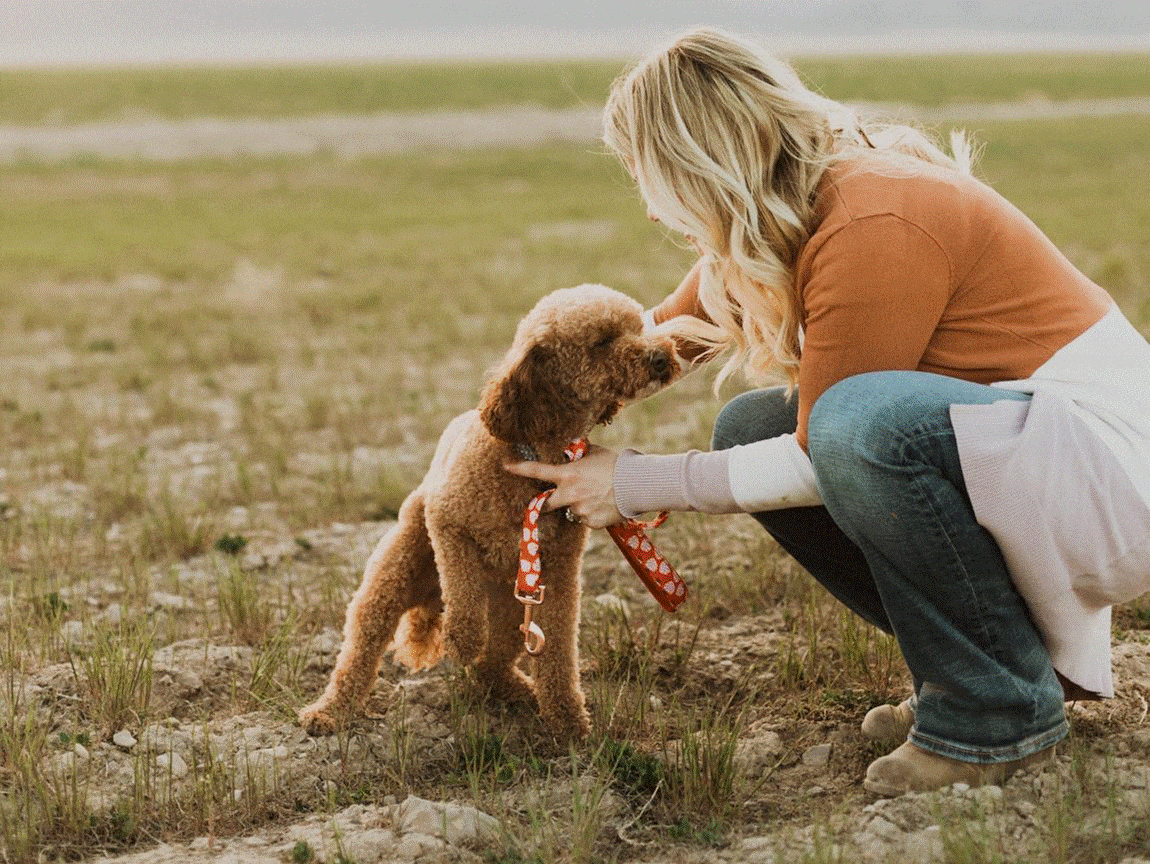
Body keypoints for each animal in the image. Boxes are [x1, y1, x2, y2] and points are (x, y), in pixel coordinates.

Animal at [301, 285, 676, 745]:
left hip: (516, 609)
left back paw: (521, 691)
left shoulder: (559, 572)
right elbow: (463, 588)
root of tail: (429, 595)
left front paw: (569, 722)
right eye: (602, 341)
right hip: (394, 576)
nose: (661, 356)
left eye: (638, 327)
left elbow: (558, 651)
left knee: (490, 665)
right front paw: (461, 637)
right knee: (363, 646)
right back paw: (329, 713)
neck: (531, 450)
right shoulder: (448, 523)